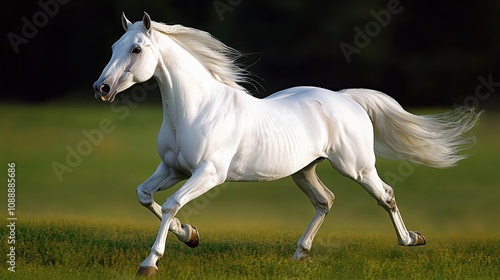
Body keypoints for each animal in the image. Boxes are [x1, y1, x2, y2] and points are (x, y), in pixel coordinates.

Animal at [94, 12, 480, 276]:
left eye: (137, 49)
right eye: (113, 47)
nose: (102, 88)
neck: (196, 109)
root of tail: (347, 98)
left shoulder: (209, 173)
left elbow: (172, 204)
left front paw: (150, 262)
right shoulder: (173, 169)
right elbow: (146, 196)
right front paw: (190, 235)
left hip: (356, 167)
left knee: (385, 195)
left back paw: (412, 239)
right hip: (303, 170)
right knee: (325, 200)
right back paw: (300, 254)